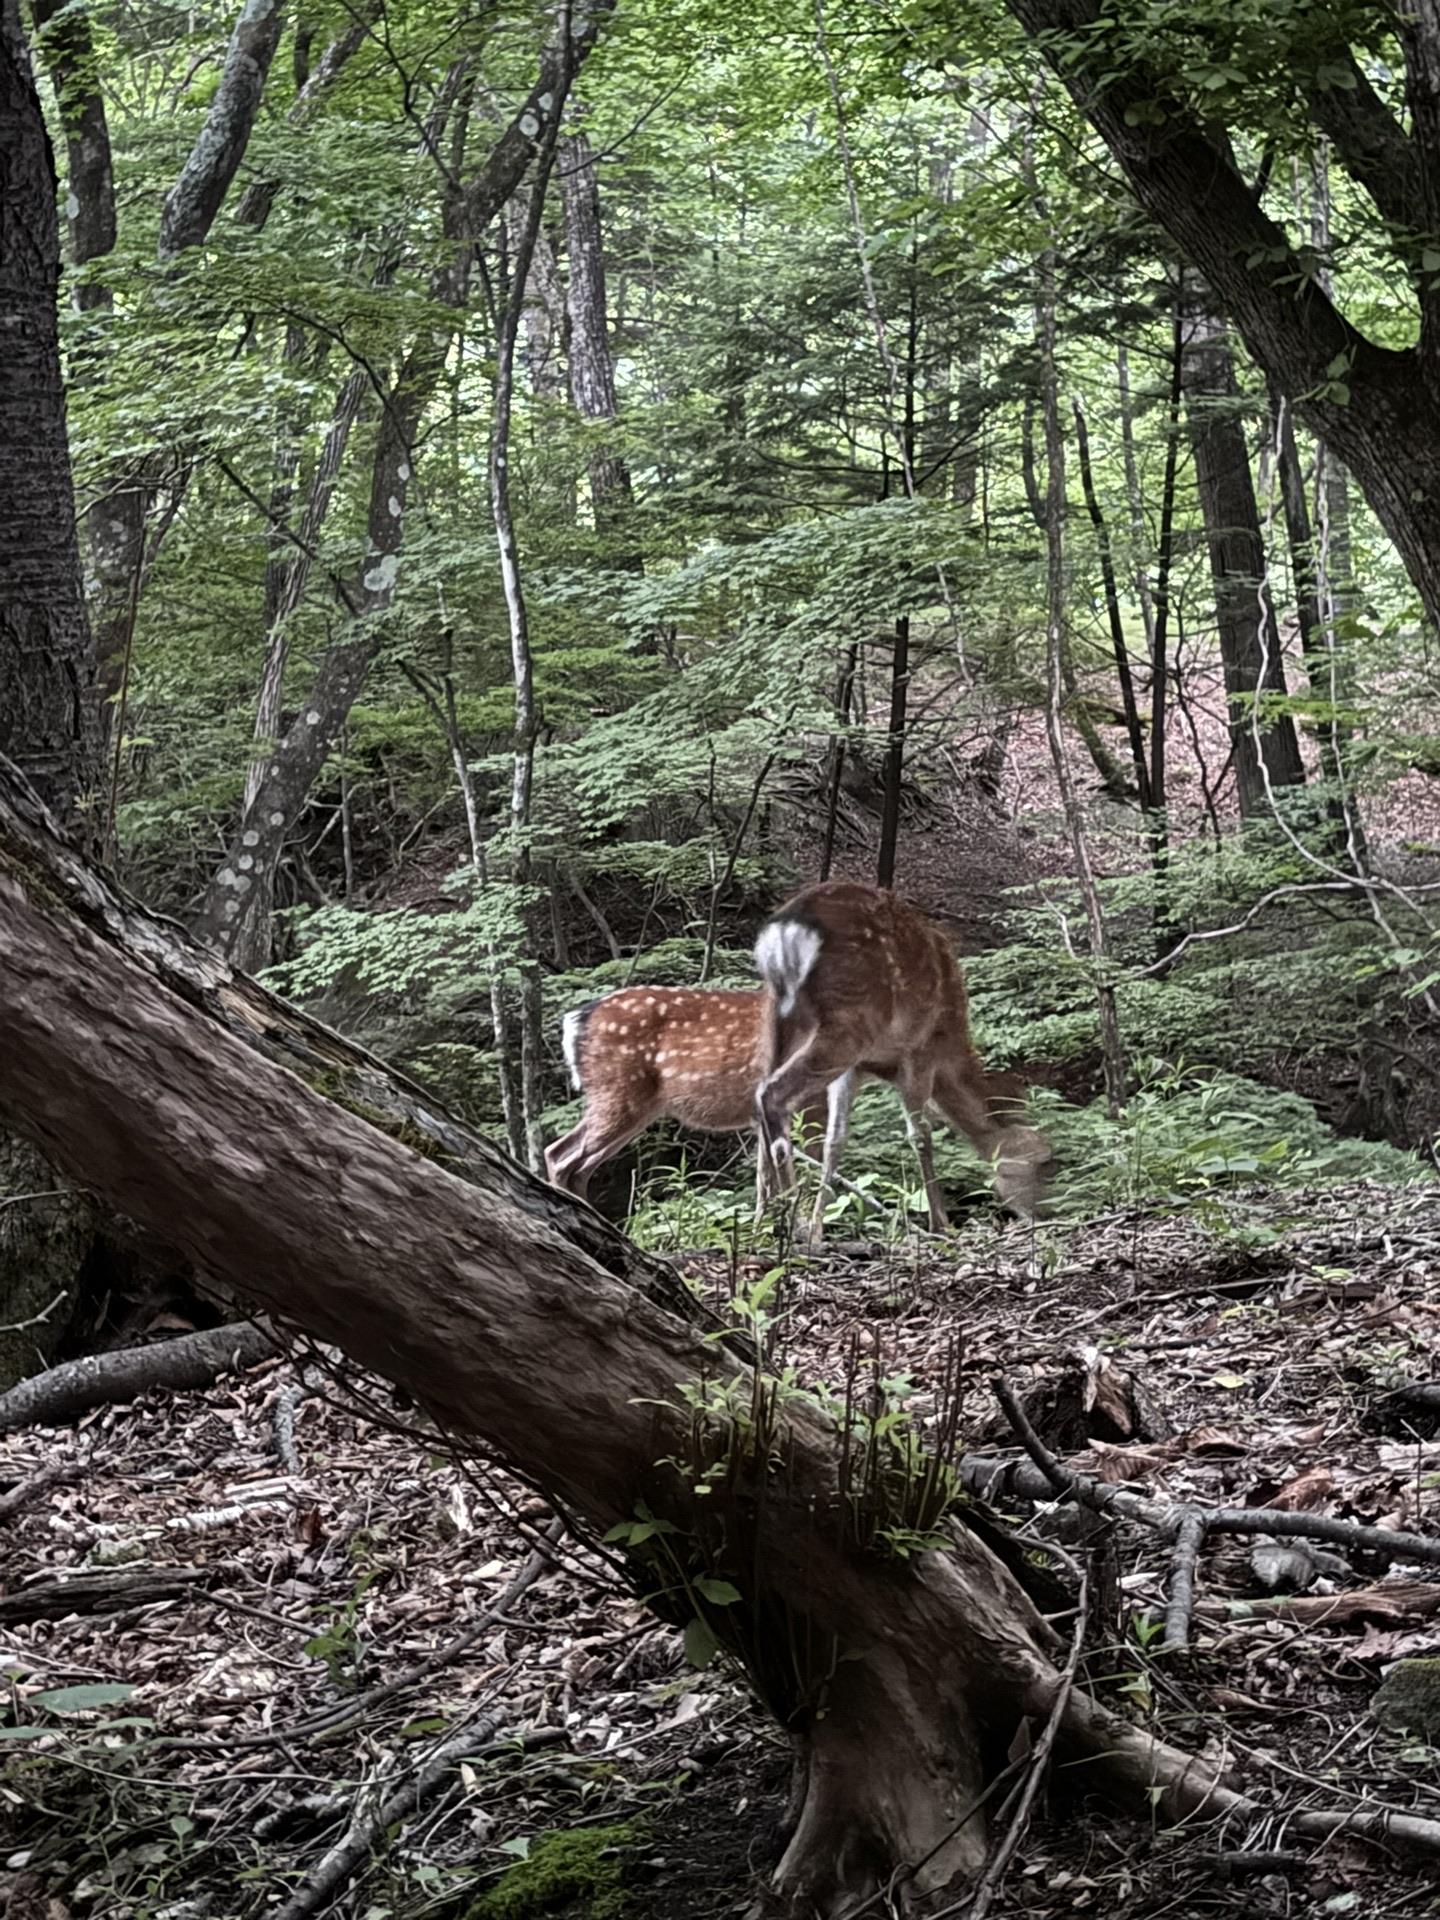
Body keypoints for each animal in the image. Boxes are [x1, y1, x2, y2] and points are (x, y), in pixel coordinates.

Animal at [753, 879, 1054, 1247]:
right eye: (1042, 1164)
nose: (1045, 1215)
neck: (952, 1050)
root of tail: (787, 928)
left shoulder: (855, 1070)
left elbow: (835, 1140)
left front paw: (817, 1230)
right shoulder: (920, 1050)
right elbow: (920, 1134)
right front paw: (941, 1225)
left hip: (777, 1016)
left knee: (760, 1097)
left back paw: (763, 1220)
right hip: (847, 1023)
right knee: (771, 1094)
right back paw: (788, 1218)